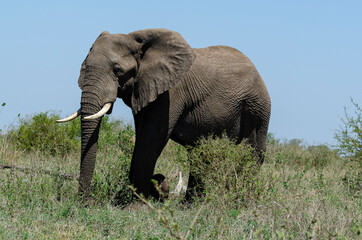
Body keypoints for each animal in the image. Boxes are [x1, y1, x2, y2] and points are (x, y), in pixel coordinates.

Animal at [56, 27, 270, 201]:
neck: (138, 42)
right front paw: (129, 198)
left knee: (252, 153)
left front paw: (134, 205)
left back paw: (241, 202)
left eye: (117, 70)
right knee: (200, 154)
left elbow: (151, 138)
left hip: (257, 108)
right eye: (84, 67)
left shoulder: (171, 93)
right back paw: (190, 205)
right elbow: (141, 137)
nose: (85, 201)